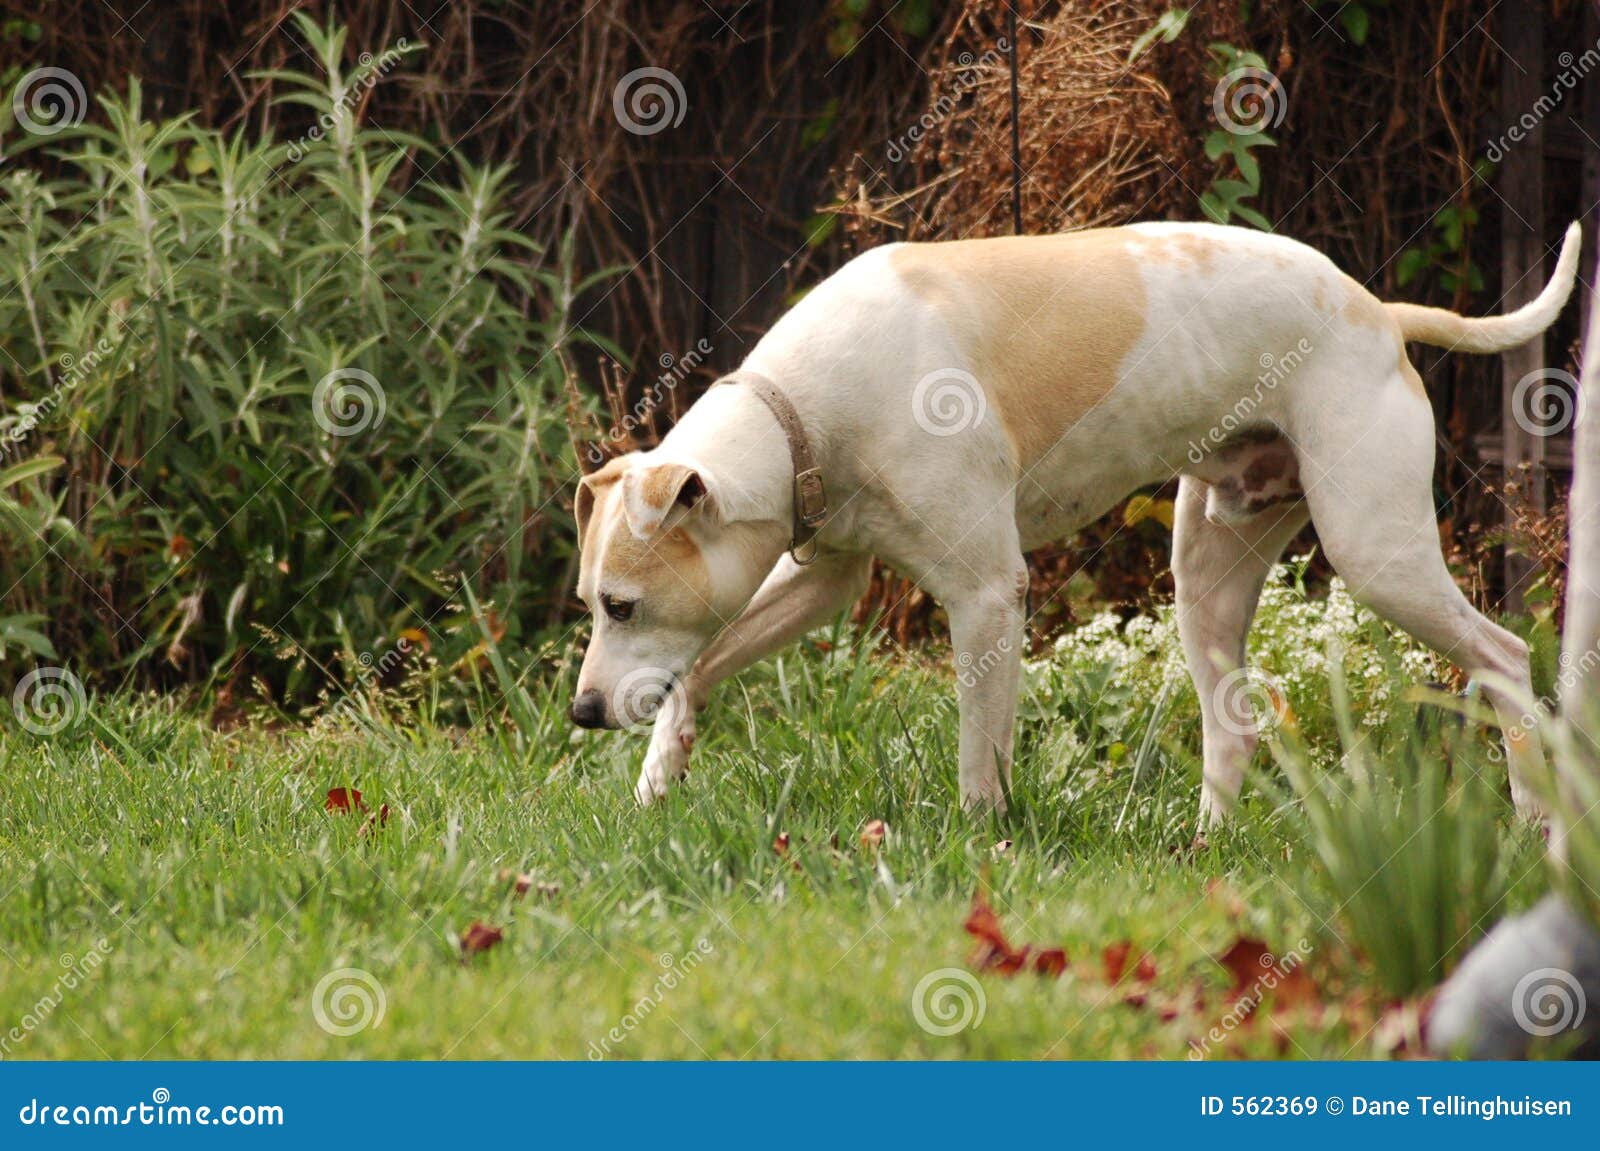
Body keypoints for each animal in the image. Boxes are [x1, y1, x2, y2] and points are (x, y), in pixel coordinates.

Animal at [569, 220, 1580, 826]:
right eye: (590, 602)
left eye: (620, 605)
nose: (579, 712)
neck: (803, 410)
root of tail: (1377, 312)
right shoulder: (820, 580)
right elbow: (698, 667)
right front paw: (657, 777)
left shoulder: (985, 595)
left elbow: (979, 749)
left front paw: (978, 840)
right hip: (1206, 578)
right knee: (1233, 724)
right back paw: (1208, 843)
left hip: (1377, 554)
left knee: (1501, 654)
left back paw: (1535, 814)